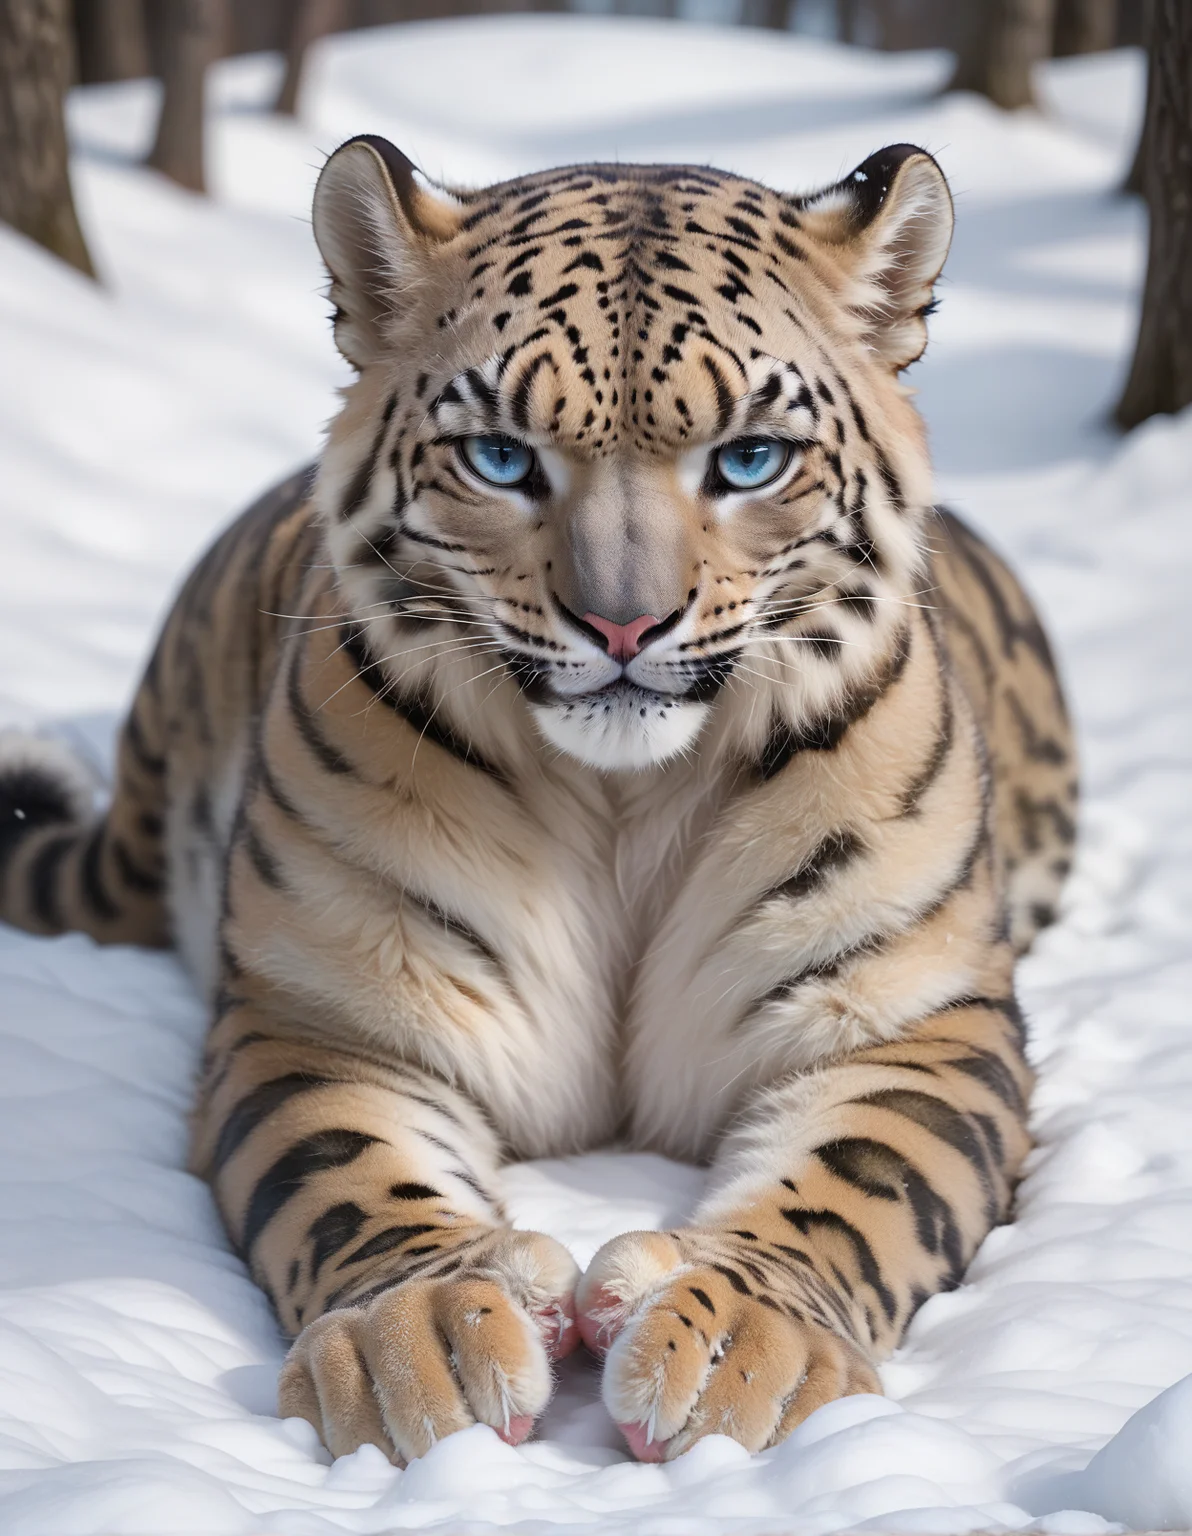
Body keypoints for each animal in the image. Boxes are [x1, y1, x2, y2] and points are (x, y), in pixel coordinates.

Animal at [0, 136, 1077, 1465]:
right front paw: (420, 1344)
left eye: (749, 458)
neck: (623, 809)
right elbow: (342, 1171)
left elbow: (863, 1182)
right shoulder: (325, 1012)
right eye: (503, 458)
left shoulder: (913, 1015)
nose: (622, 626)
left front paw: (737, 1348)